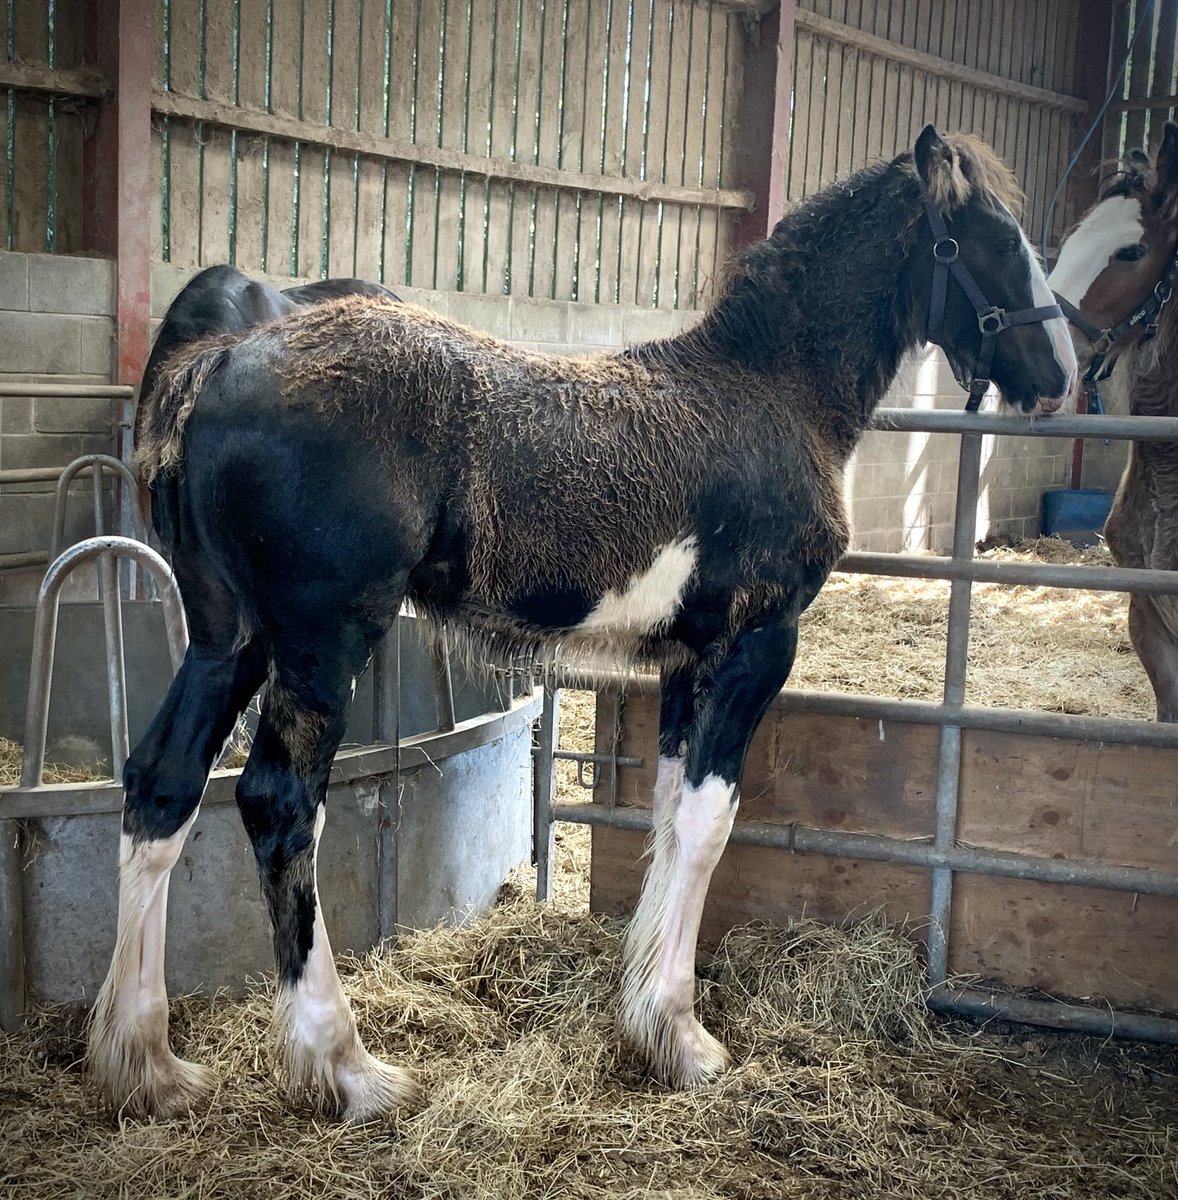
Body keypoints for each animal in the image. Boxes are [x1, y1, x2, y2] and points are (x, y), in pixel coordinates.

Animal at [90, 126, 1075, 1122]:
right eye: (995, 236)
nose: (1062, 375)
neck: (770, 389)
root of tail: (223, 359)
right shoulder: (757, 645)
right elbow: (710, 821)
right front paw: (684, 1038)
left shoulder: (688, 660)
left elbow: (670, 811)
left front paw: (646, 1020)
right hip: (322, 641)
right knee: (278, 803)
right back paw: (347, 1066)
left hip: (229, 639)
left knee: (163, 784)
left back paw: (147, 1062)